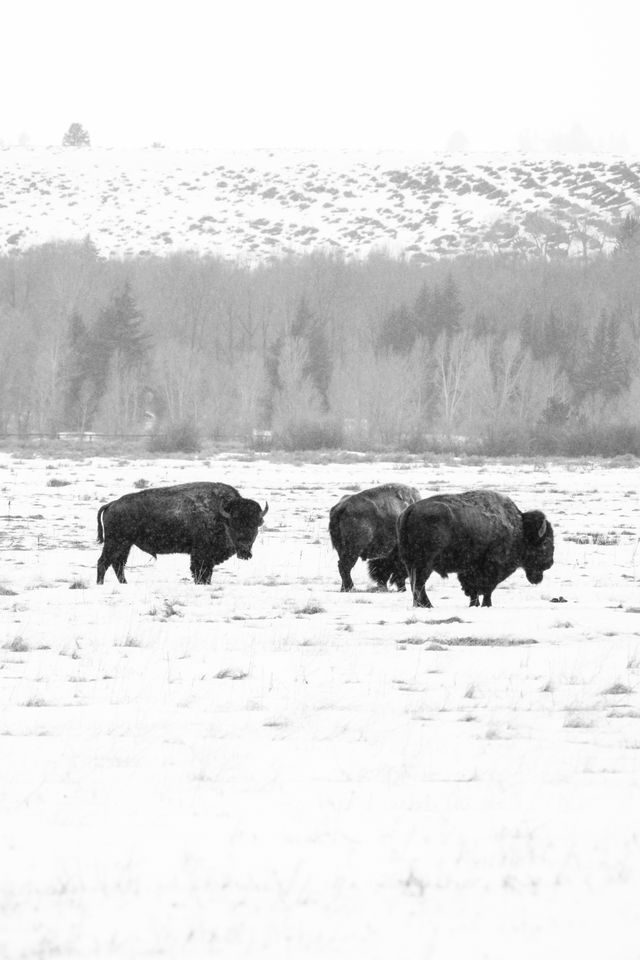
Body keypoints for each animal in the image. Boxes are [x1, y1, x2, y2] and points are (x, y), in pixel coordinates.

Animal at [95, 480, 268, 584]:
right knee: (104, 562)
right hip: (116, 542)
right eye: (234, 524)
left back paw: (124, 583)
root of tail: (112, 504)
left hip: (125, 544)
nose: (245, 551)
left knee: (117, 564)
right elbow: (201, 572)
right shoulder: (201, 554)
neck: (221, 514)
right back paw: (101, 584)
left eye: (255, 526)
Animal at [398, 488, 552, 608]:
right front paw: (486, 604)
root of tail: (409, 510)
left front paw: (475, 604)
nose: (549, 564)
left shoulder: (469, 569)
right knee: (419, 583)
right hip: (424, 563)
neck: (520, 529)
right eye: (545, 542)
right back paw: (428, 605)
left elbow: (473, 589)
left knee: (415, 583)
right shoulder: (491, 568)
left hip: (410, 562)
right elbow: (486, 588)